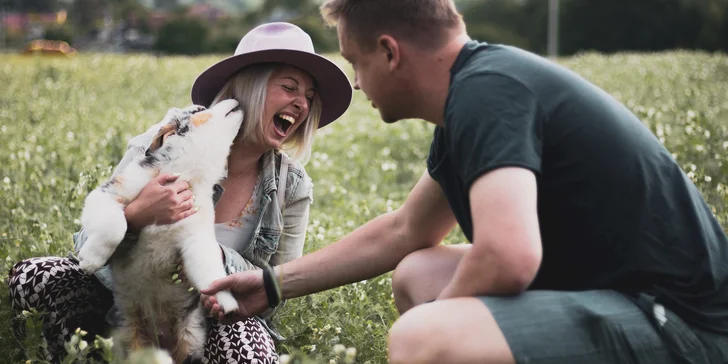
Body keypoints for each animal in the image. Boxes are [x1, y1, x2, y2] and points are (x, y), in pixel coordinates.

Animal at [77, 99, 243, 364]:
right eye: (199, 110)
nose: (237, 100)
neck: (187, 175)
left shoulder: (197, 240)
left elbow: (211, 270)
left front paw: (225, 301)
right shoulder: (109, 193)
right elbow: (116, 226)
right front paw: (91, 259)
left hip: (190, 340)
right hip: (127, 335)